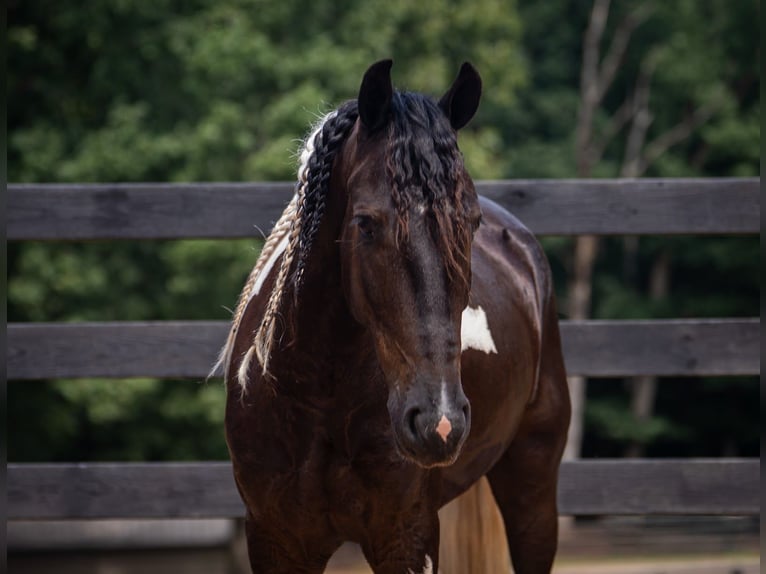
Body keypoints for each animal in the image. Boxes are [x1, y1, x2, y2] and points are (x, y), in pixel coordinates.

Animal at [218, 60, 570, 573]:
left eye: (471, 222)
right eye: (366, 224)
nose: (439, 421)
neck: (317, 399)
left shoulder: (407, 536)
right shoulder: (275, 540)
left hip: (534, 488)